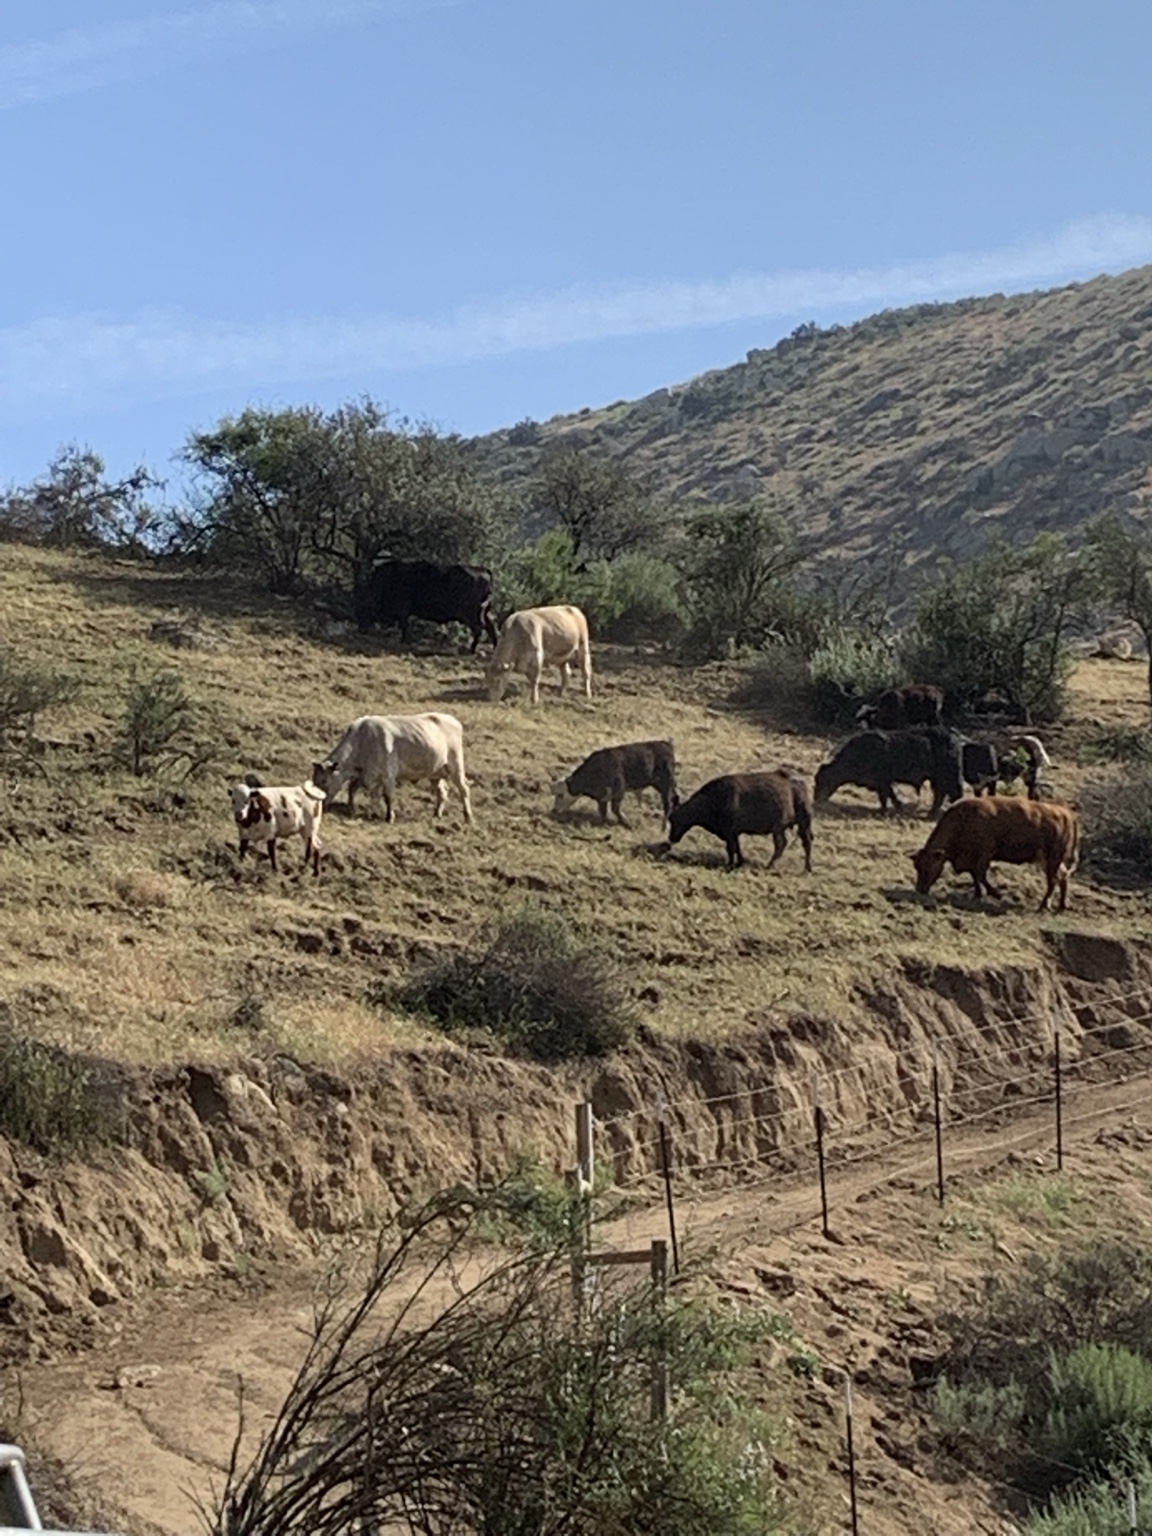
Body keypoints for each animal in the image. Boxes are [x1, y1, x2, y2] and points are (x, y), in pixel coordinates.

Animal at [313, 713, 473, 823]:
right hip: (435, 772)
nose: (318, 805)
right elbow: (355, 790)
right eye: (314, 781)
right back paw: (437, 814)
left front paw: (389, 817)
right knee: (442, 792)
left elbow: (387, 796)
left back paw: (468, 816)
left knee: (463, 789)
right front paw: (355, 809)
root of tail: (451, 719)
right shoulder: (366, 775)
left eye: (324, 781)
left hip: (456, 765)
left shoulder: (388, 775)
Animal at [355, 559, 498, 652]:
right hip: (483, 613)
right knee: (490, 627)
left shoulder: (402, 610)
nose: (361, 627)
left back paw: (471, 650)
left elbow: (404, 625)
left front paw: (405, 641)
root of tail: (482, 570)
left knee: (479, 630)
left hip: (471, 615)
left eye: (364, 606)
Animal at [666, 769, 813, 871]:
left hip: (797, 823)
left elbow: (731, 849)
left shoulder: (730, 832)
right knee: (793, 843)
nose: (672, 838)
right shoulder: (733, 833)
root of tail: (799, 783)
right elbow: (736, 848)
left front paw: (730, 865)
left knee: (796, 843)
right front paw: (738, 863)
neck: (714, 800)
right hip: (786, 827)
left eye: (675, 819)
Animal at [814, 727, 964, 814]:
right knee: (940, 794)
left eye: (824, 781)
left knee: (945, 793)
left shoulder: (883, 781)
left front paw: (887, 809)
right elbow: (889, 795)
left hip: (947, 777)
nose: (817, 800)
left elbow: (885, 796)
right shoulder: (881, 783)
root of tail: (953, 738)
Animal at [911, 795, 1079, 912]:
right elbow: (975, 875)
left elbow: (980, 875)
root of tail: (1065, 812)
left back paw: (1044, 905)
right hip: (1047, 859)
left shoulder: (984, 854)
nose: (920, 889)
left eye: (928, 867)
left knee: (1053, 880)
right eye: (917, 866)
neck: (963, 819)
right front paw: (978, 894)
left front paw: (996, 894)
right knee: (1063, 876)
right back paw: (1062, 905)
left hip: (1053, 858)